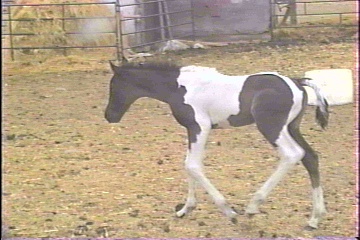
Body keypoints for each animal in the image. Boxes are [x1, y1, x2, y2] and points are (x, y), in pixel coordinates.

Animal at [104, 62, 330, 229]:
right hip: (292, 127)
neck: (178, 87)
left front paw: (229, 212)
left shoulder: (200, 127)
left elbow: (193, 165)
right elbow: (188, 165)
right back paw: (314, 219)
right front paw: (185, 209)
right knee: (310, 157)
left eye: (114, 86)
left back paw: (253, 205)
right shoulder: (192, 129)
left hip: (272, 127)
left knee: (292, 154)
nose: (109, 116)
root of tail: (296, 82)